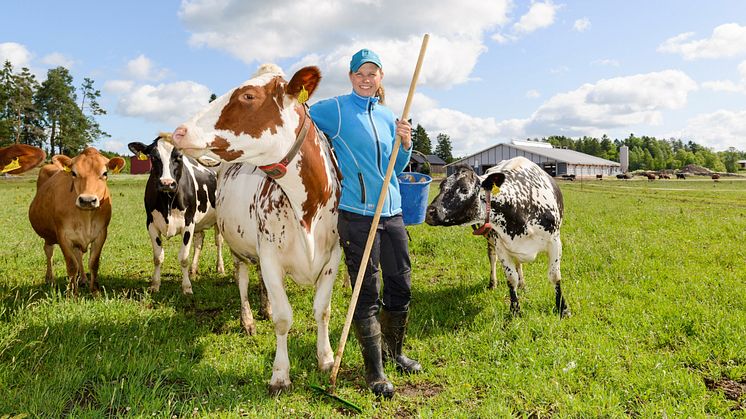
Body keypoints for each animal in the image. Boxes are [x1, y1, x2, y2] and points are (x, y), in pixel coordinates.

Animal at [28, 148, 125, 296]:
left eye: (105, 173)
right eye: (73, 173)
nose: (87, 200)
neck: (85, 217)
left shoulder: (101, 234)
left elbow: (93, 263)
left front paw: (95, 291)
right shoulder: (63, 235)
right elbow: (72, 265)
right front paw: (72, 293)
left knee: (78, 254)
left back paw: (83, 279)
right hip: (49, 236)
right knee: (49, 252)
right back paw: (50, 278)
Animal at [128, 136, 224, 294]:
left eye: (179, 156)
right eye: (153, 157)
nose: (167, 183)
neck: (168, 201)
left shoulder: (188, 223)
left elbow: (183, 258)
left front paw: (187, 287)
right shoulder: (151, 224)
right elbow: (158, 257)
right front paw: (155, 284)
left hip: (218, 220)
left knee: (218, 242)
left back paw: (220, 267)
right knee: (199, 241)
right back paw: (193, 270)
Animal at [170, 64, 342, 396]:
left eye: (248, 96)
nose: (179, 131)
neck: (307, 209)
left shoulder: (333, 257)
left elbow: (322, 310)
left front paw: (327, 359)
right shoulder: (271, 256)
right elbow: (284, 318)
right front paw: (280, 375)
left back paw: (264, 307)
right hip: (237, 247)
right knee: (243, 280)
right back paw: (249, 319)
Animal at [424, 158, 568, 318]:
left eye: (465, 189)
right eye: (441, 186)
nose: (429, 212)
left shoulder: (555, 242)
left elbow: (554, 275)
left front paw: (562, 308)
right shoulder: (501, 246)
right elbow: (511, 279)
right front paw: (515, 310)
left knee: (519, 264)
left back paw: (523, 284)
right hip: (491, 241)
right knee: (493, 258)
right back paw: (493, 283)